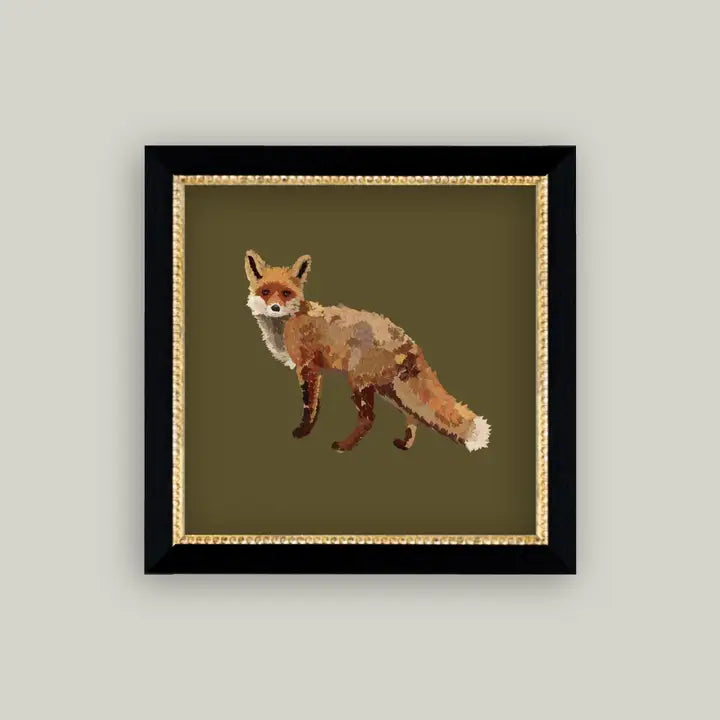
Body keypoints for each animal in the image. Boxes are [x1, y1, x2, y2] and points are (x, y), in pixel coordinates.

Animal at [244, 250, 490, 453]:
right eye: (265, 291)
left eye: (286, 293)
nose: (275, 307)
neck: (287, 323)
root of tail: (407, 339)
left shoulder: (308, 367)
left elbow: (310, 406)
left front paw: (303, 432)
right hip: (388, 389)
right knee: (412, 416)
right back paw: (404, 445)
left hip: (360, 383)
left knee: (369, 419)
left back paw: (344, 446)